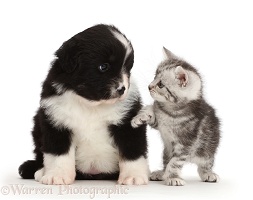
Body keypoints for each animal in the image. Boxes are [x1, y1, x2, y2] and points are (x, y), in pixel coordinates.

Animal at [18, 24, 149, 185]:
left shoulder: (128, 121)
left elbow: (132, 151)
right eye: (103, 67)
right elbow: (58, 153)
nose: (122, 89)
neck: (91, 105)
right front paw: (57, 175)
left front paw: (133, 176)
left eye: (128, 68)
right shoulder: (57, 121)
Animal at [131, 47, 220, 186]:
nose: (149, 86)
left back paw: (208, 174)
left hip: (207, 149)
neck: (171, 111)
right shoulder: (158, 123)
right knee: (166, 161)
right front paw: (139, 117)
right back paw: (161, 173)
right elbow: (151, 112)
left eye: (161, 84)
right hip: (166, 151)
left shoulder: (185, 143)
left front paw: (173, 177)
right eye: (154, 76)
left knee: (204, 165)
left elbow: (175, 162)